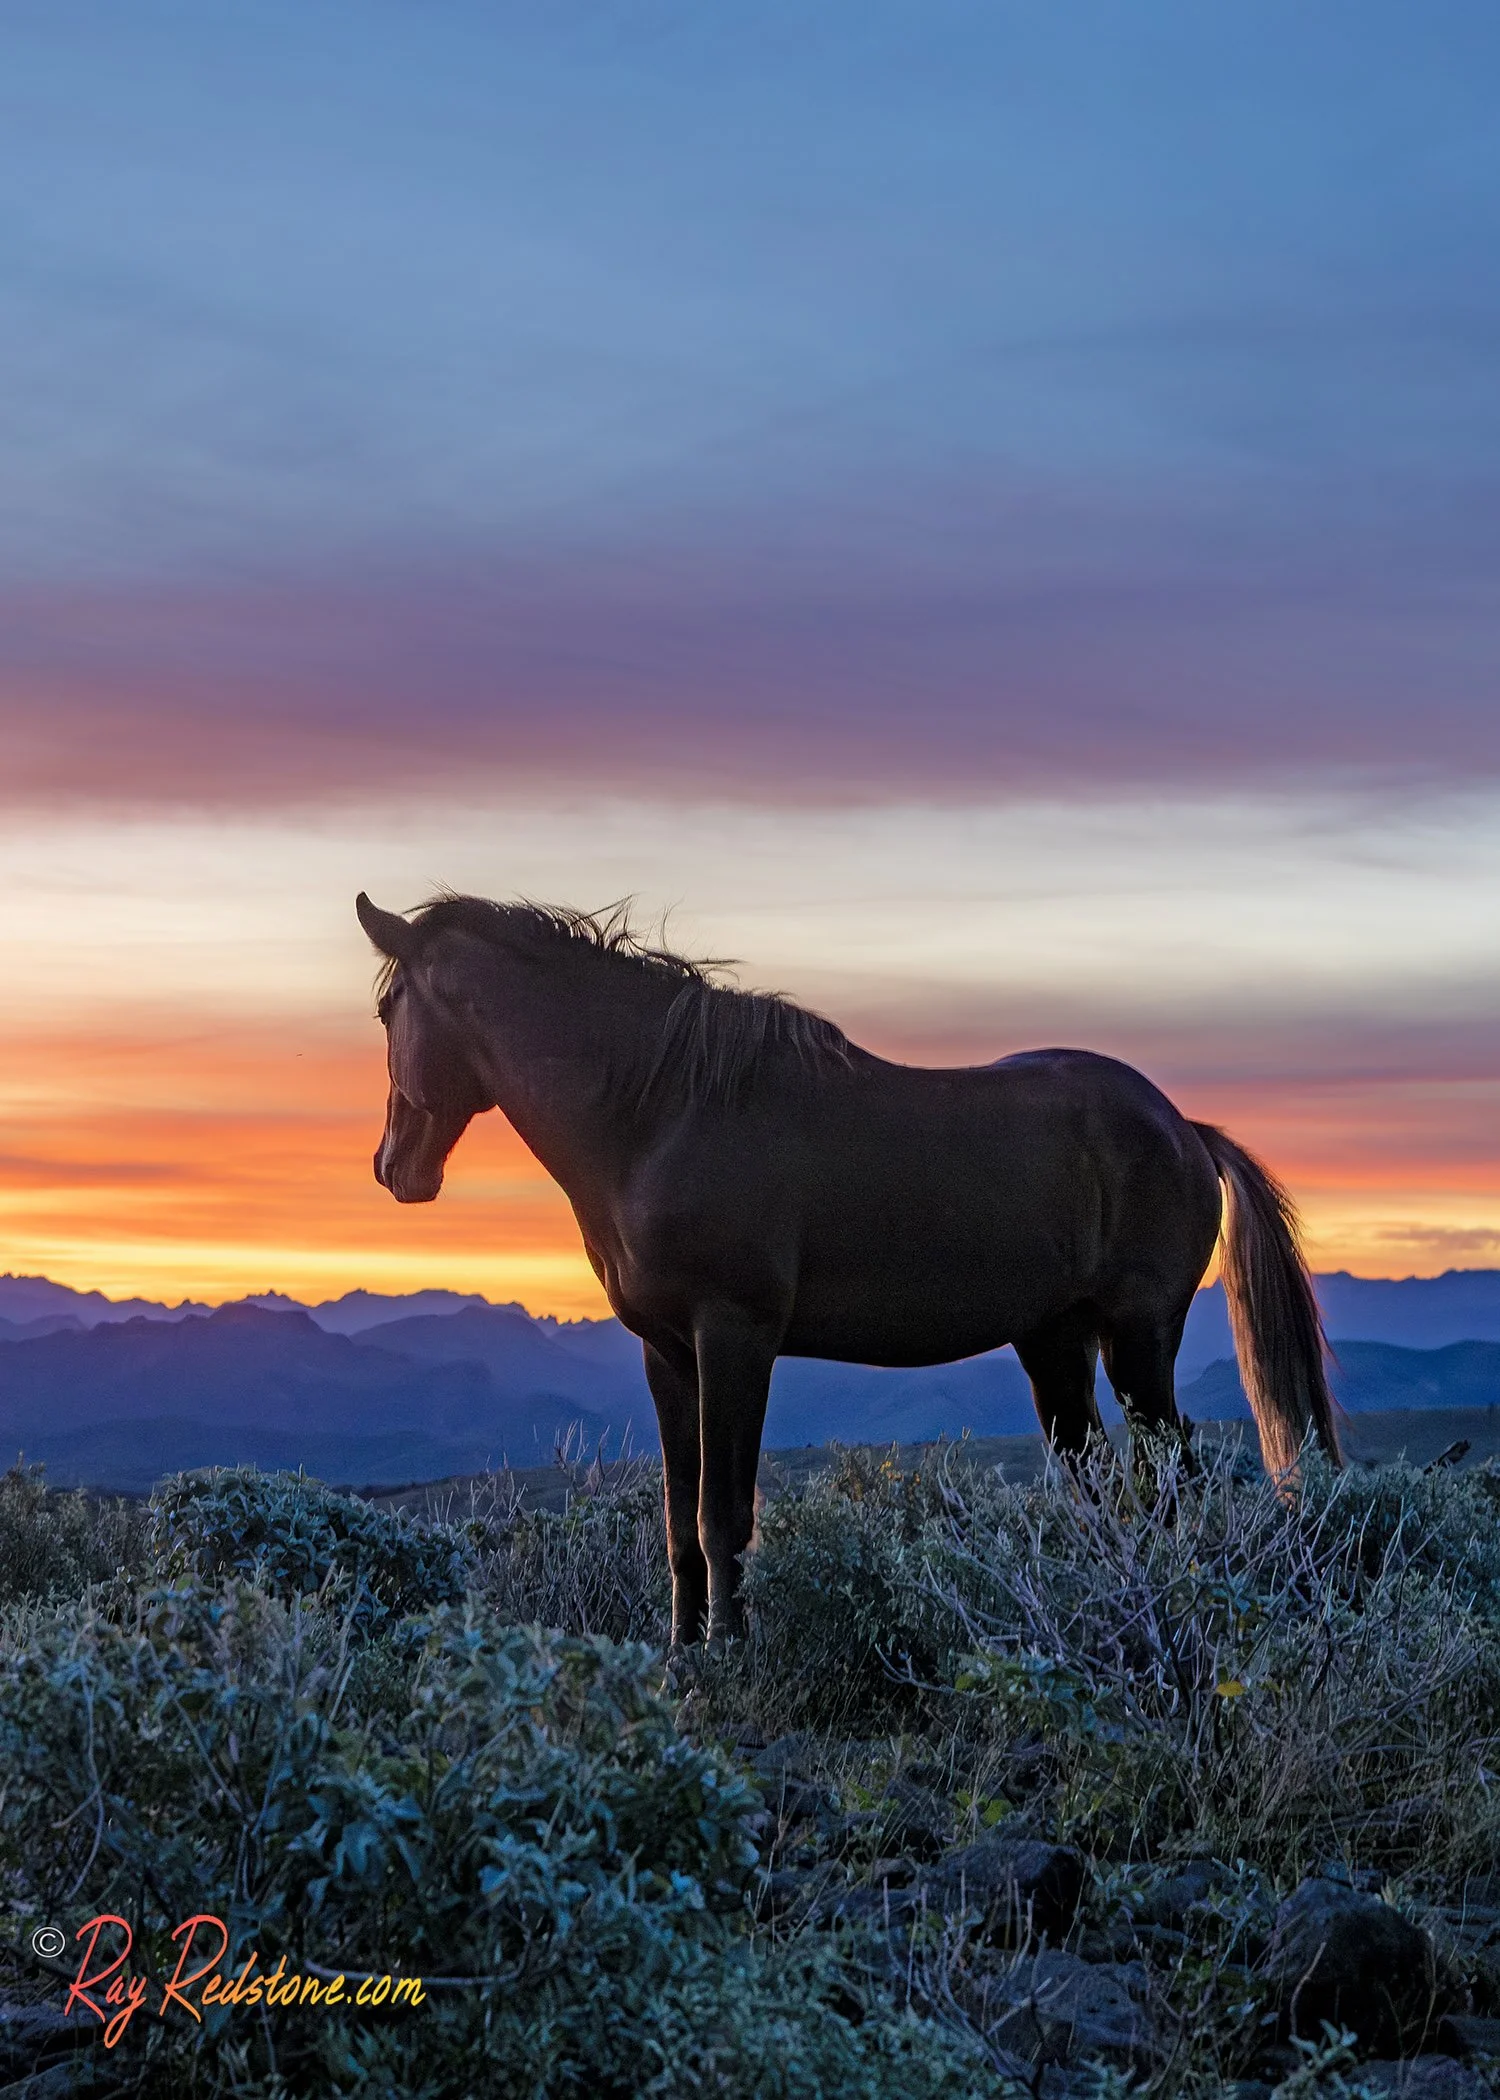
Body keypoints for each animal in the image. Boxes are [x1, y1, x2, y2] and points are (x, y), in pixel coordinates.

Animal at [356, 890, 1341, 1648]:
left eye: (385, 1012)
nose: (393, 1169)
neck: (658, 1116)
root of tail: (1184, 1128)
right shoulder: (667, 1353)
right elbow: (679, 1523)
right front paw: (679, 1663)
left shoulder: (735, 1339)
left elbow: (723, 1515)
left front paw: (731, 1662)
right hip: (1055, 1346)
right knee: (1099, 1486)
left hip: (1140, 1340)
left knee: (1168, 1483)